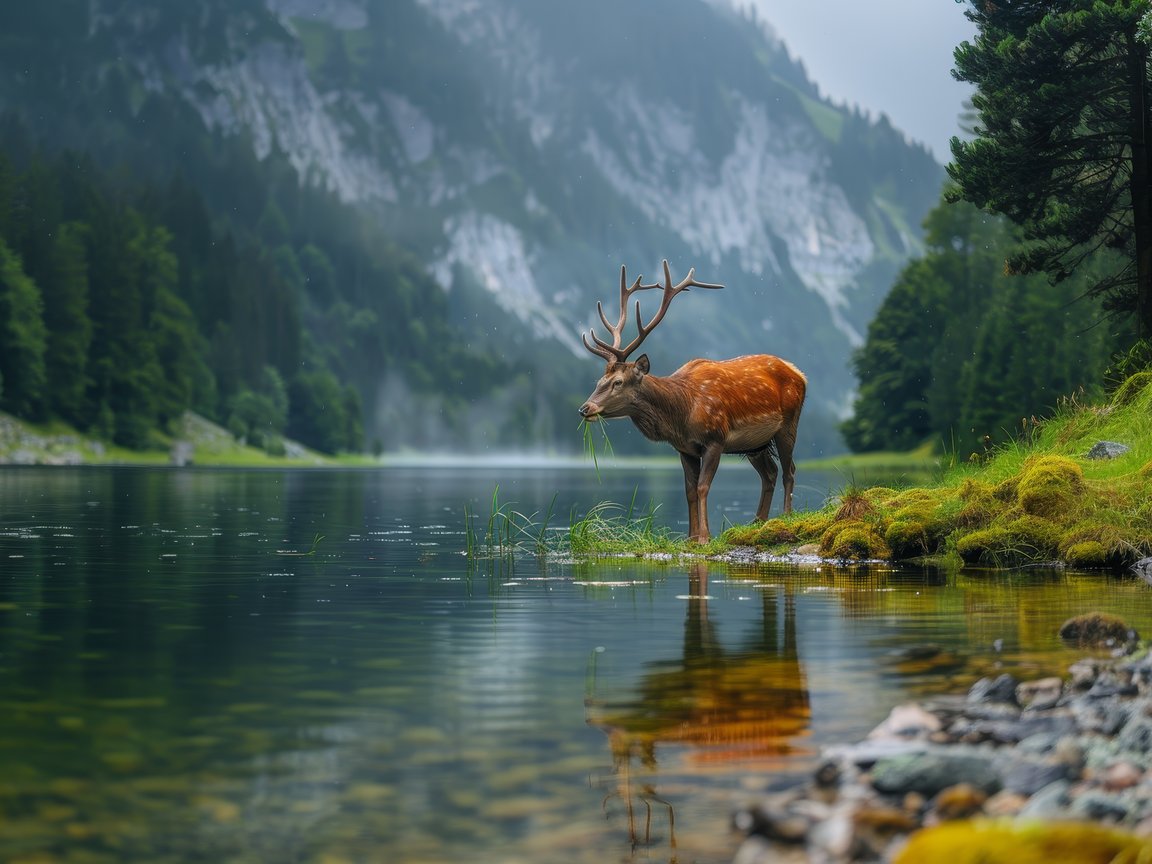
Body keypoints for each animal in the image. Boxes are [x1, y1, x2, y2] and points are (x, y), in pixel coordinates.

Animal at [578, 260, 806, 544]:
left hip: (789, 423)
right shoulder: (684, 449)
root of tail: (800, 374)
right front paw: (690, 537)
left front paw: (705, 537)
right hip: (756, 444)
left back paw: (785, 517)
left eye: (618, 382)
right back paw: (758, 522)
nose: (585, 408)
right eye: (599, 380)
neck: (681, 415)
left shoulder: (715, 438)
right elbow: (688, 490)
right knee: (770, 473)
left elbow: (703, 486)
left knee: (789, 470)